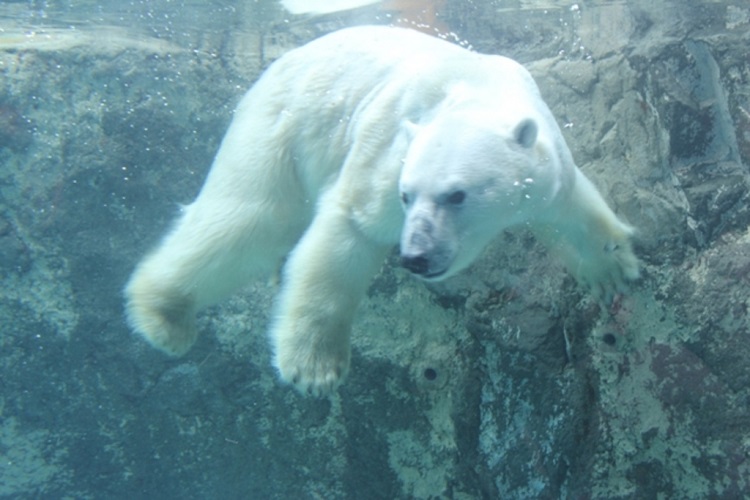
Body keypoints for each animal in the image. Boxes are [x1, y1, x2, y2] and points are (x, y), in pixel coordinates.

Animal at [125, 26, 640, 394]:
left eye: (457, 195)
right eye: (406, 195)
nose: (415, 257)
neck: (476, 90)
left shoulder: (545, 162)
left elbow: (570, 212)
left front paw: (611, 270)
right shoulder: (389, 148)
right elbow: (352, 229)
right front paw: (313, 368)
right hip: (278, 126)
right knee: (251, 219)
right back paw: (163, 315)